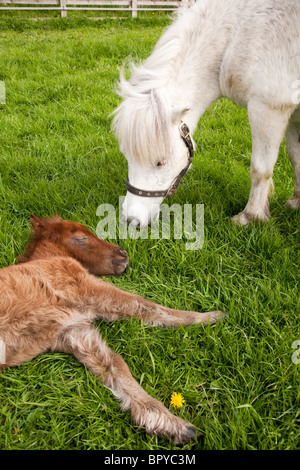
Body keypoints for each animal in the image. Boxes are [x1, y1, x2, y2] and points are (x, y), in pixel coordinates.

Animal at [0, 216, 224, 444]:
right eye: (80, 237)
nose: (123, 255)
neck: (49, 259)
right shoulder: (86, 288)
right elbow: (144, 305)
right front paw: (210, 317)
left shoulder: (73, 331)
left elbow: (114, 365)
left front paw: (171, 425)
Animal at [112, 0, 300, 228]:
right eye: (126, 156)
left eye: (160, 162)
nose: (132, 220)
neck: (237, 33)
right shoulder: (293, 115)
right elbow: (296, 158)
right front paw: (296, 202)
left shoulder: (268, 109)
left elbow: (260, 170)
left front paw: (250, 216)